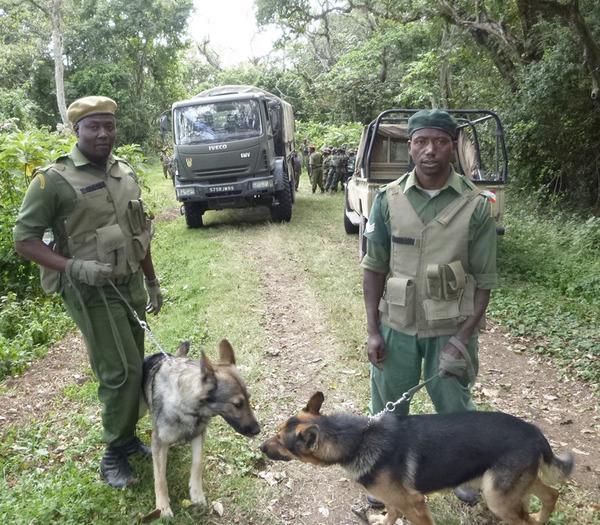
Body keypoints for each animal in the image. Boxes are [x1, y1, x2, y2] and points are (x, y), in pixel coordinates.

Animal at [144, 340, 262, 516]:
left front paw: (196, 494)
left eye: (248, 399)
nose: (257, 430)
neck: (188, 409)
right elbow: (160, 478)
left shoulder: (198, 435)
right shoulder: (158, 442)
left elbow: (197, 464)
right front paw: (162, 507)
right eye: (237, 404)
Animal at [262, 390, 572, 520]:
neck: (358, 439)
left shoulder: (415, 504)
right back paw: (541, 515)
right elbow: (389, 516)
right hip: (507, 486)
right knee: (550, 495)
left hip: (497, 497)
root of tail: (534, 432)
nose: (261, 447)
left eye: (281, 442)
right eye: (275, 433)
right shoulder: (395, 500)